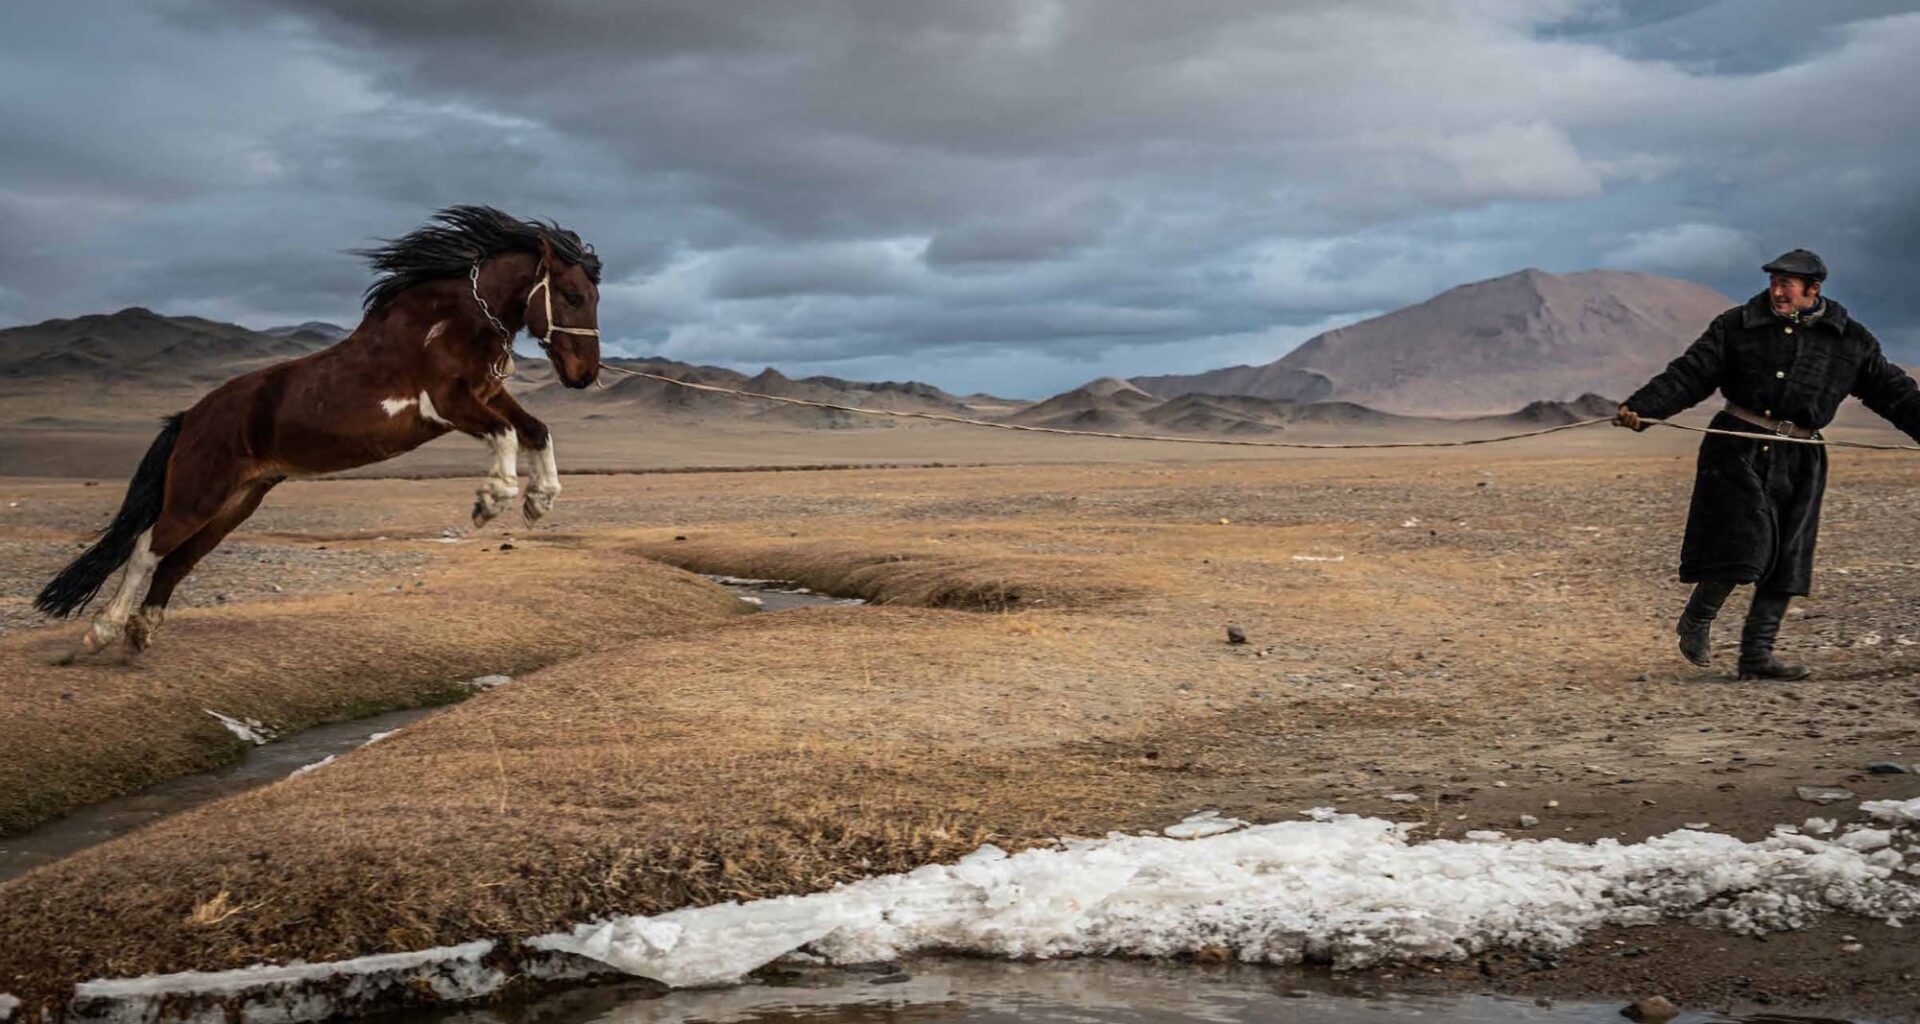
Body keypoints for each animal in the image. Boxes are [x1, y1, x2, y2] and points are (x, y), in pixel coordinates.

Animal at [35, 205, 603, 659]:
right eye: (572, 295)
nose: (585, 375)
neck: (453, 322)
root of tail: (190, 418)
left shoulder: (487, 395)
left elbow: (536, 429)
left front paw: (540, 500)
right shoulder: (448, 403)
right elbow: (506, 435)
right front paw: (491, 501)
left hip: (236, 503)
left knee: (177, 562)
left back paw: (140, 632)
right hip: (198, 495)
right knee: (146, 547)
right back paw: (103, 631)